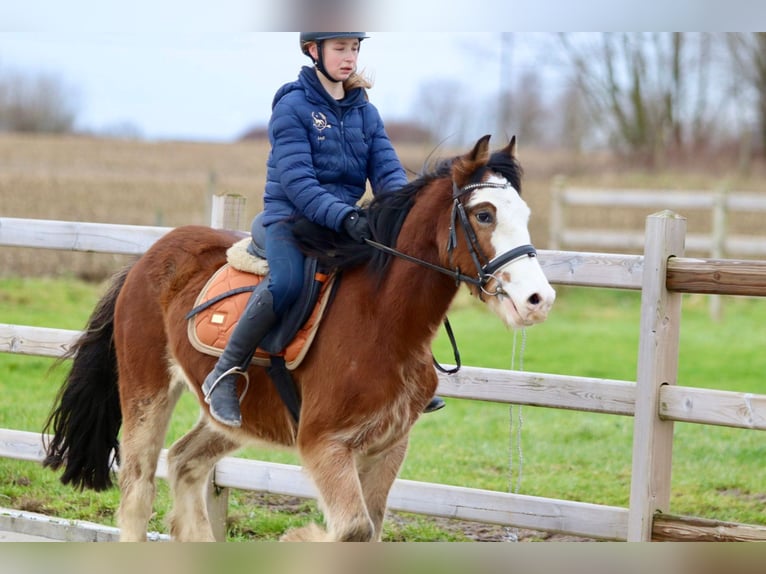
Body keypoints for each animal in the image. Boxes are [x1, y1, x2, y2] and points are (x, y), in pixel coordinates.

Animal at [42, 135, 556, 544]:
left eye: (526, 214)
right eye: (484, 214)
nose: (538, 299)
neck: (383, 321)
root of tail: (145, 259)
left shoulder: (388, 447)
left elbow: (371, 530)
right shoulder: (325, 446)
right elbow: (352, 530)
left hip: (232, 414)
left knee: (186, 462)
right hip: (145, 391)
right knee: (137, 489)